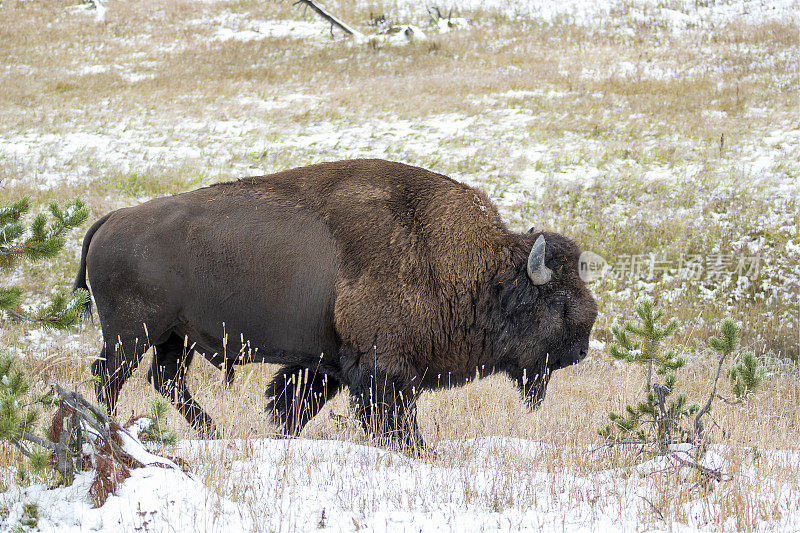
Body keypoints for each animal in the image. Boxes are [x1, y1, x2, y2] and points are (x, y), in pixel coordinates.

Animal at [75, 158, 596, 448]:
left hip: (173, 337)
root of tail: (112, 219)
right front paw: (417, 451)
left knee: (165, 380)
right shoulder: (381, 367)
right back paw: (111, 428)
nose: (579, 350)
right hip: (131, 333)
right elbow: (389, 418)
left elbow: (292, 402)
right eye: (558, 303)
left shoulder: (328, 363)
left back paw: (212, 432)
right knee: (110, 377)